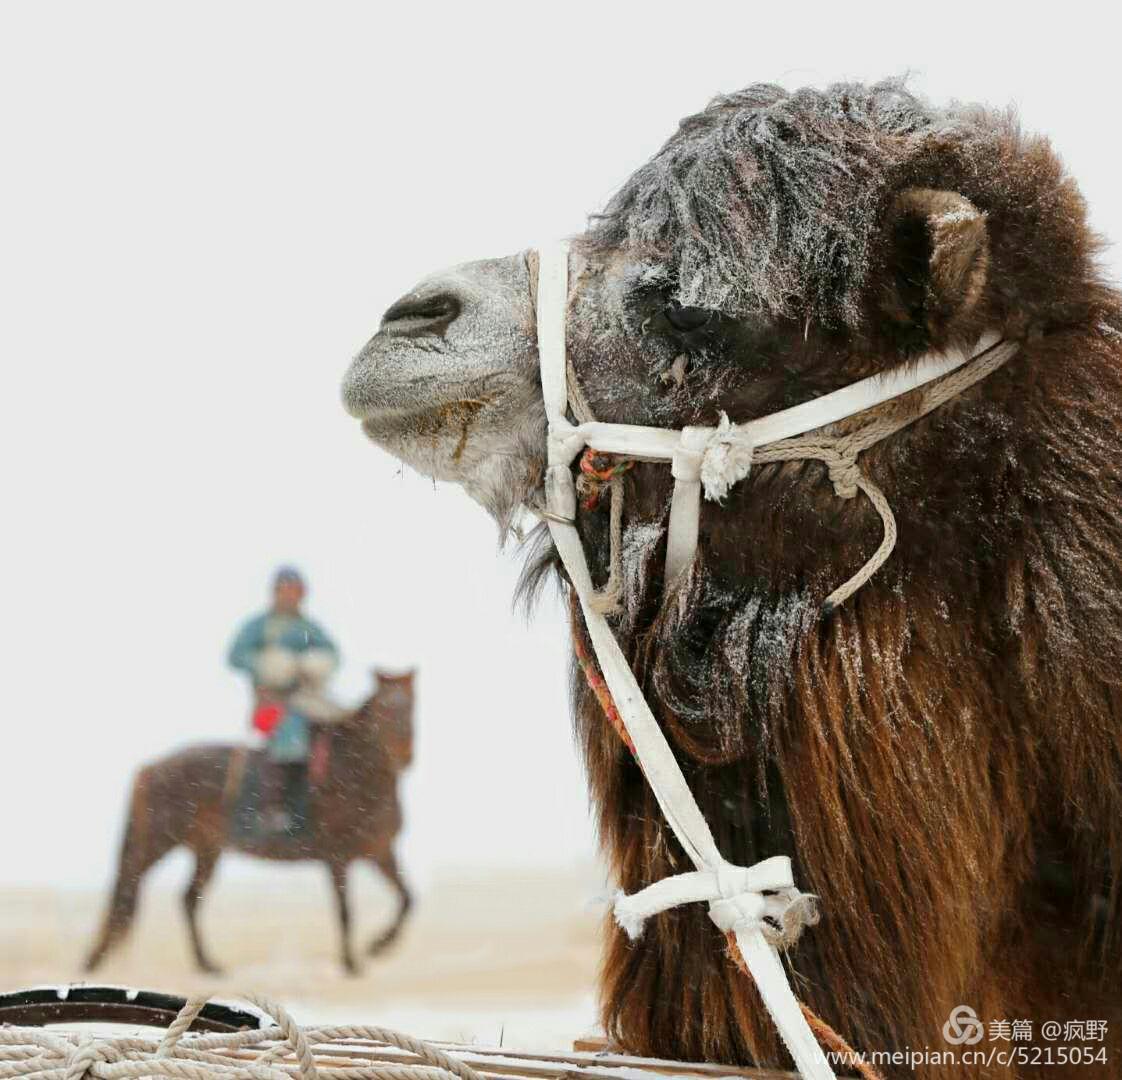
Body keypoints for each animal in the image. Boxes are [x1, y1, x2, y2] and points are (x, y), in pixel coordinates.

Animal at [84, 668, 415, 975]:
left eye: (411, 707)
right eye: (383, 709)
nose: (405, 754)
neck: (357, 776)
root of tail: (150, 767)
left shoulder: (380, 852)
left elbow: (407, 898)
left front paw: (377, 947)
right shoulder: (338, 857)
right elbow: (345, 910)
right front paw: (352, 963)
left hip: (206, 850)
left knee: (187, 899)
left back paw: (207, 965)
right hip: (158, 841)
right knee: (128, 887)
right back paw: (93, 961)